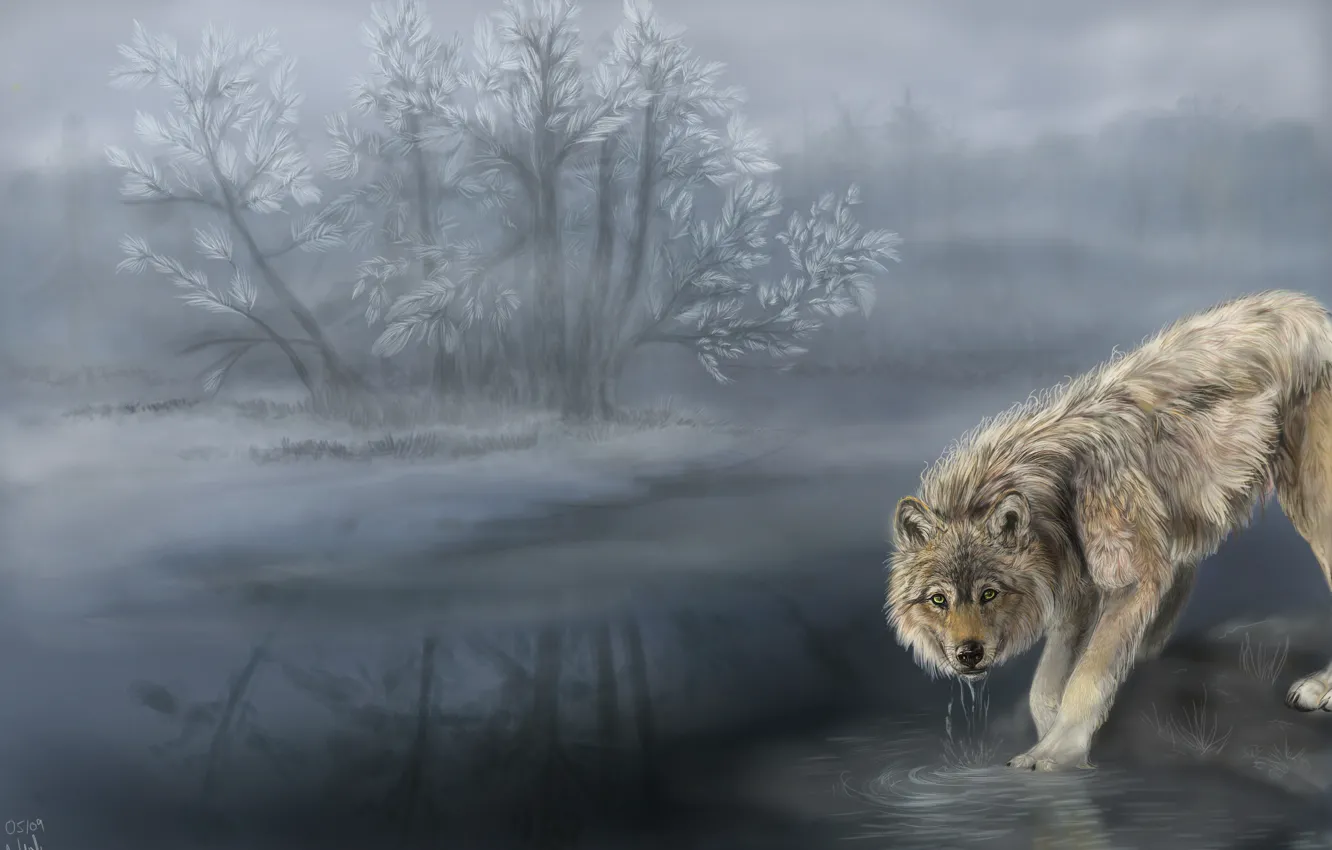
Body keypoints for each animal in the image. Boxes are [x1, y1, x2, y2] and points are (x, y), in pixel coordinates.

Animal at [884, 290, 1332, 771]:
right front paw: (1048, 733)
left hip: (1314, 512)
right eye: (938, 599)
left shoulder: (1130, 581)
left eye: (989, 593)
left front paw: (1057, 753)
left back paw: (1319, 688)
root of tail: (1313, 312)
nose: (969, 654)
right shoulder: (1077, 590)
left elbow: (1087, 676)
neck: (1056, 495)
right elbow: (1045, 686)